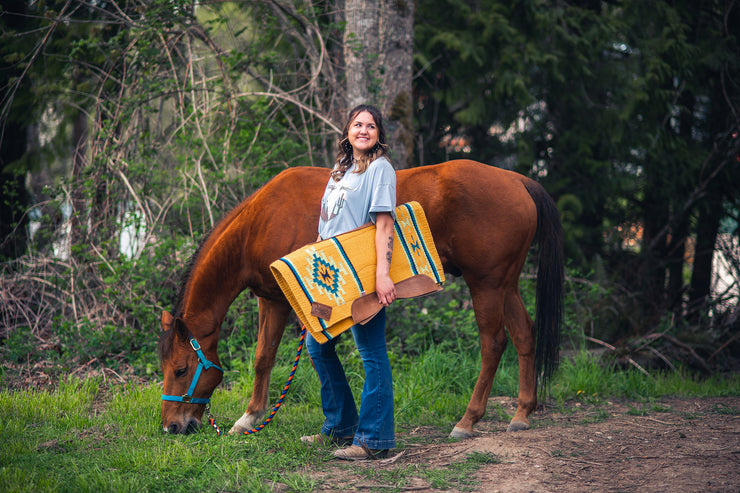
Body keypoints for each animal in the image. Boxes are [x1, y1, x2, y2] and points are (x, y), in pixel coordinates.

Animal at [159, 160, 564, 436]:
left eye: (180, 369)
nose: (171, 426)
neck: (262, 220)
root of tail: (517, 180)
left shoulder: (281, 303)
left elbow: (272, 358)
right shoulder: (270, 298)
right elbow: (264, 357)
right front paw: (251, 417)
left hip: (487, 285)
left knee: (493, 343)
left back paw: (468, 420)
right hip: (506, 284)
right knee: (524, 335)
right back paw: (522, 413)